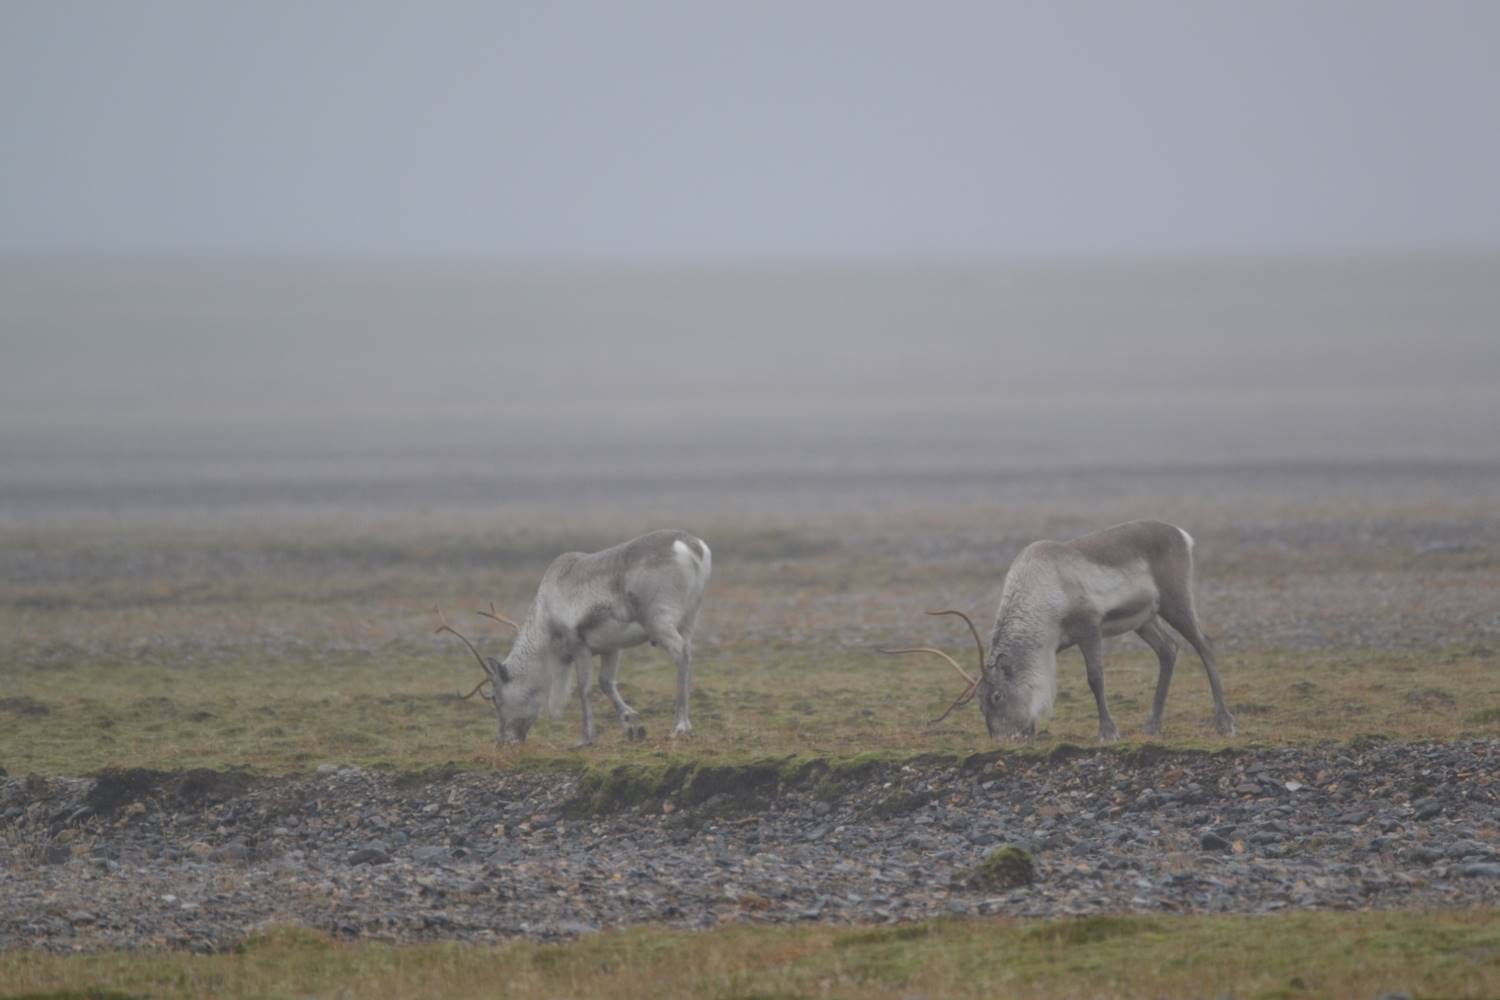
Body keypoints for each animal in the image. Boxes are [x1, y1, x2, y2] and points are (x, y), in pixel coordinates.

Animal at [436, 529, 711, 746]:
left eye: (495, 697)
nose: (503, 741)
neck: (544, 621)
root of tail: (692, 546)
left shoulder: (578, 645)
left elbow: (584, 688)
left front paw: (586, 737)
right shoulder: (612, 648)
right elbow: (606, 683)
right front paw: (632, 724)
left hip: (659, 620)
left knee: (681, 652)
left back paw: (680, 726)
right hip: (690, 617)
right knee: (688, 651)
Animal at [884, 520, 1234, 743]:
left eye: (997, 695)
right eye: (979, 703)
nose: (1002, 740)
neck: (1041, 588)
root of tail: (1182, 535)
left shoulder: (1089, 627)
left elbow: (1095, 678)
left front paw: (1108, 733)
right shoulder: (1057, 644)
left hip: (1174, 600)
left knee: (1204, 644)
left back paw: (1224, 723)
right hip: (1144, 619)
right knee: (1169, 650)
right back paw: (1151, 726)